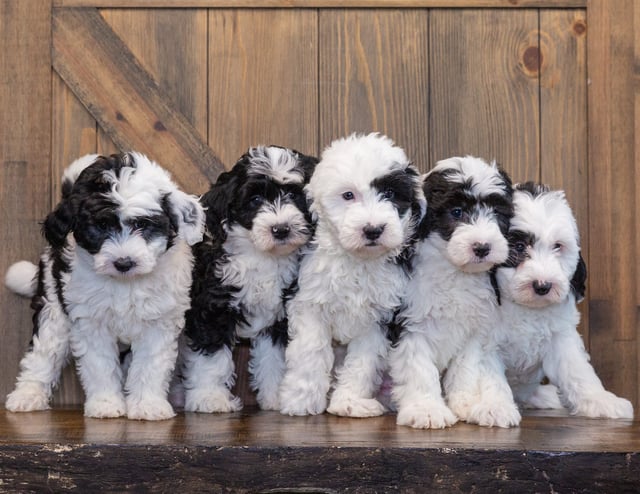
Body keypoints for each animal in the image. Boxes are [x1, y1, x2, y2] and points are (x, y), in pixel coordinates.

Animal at [4, 153, 205, 420]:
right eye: (101, 226)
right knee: (43, 353)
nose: (123, 262)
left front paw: (147, 404)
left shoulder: (158, 323)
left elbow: (150, 365)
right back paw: (27, 395)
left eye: (142, 225)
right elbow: (99, 364)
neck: (125, 284)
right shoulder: (91, 322)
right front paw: (106, 403)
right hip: (53, 306)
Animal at [180, 145, 318, 412]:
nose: (281, 229)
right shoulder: (213, 310)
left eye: (294, 195)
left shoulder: (277, 319)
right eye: (255, 200)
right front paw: (211, 398)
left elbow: (273, 359)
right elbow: (213, 359)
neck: (262, 257)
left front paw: (275, 397)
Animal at [278, 132, 424, 416]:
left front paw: (349, 401)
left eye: (390, 193)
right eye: (348, 195)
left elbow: (362, 363)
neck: (357, 261)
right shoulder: (309, 303)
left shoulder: (378, 319)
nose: (373, 229)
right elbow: (310, 351)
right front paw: (301, 400)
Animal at [388, 155, 512, 428]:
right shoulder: (411, 325)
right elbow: (420, 370)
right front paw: (426, 409)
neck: (454, 271)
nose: (482, 247)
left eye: (497, 213)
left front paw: (465, 403)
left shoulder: (472, 332)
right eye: (456, 212)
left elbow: (464, 370)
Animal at [442, 183, 632, 426]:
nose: (543, 286)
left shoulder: (561, 337)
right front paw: (494, 406)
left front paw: (601, 400)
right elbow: (489, 375)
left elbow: (578, 371)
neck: (525, 306)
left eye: (558, 246)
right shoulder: (486, 341)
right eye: (519, 246)